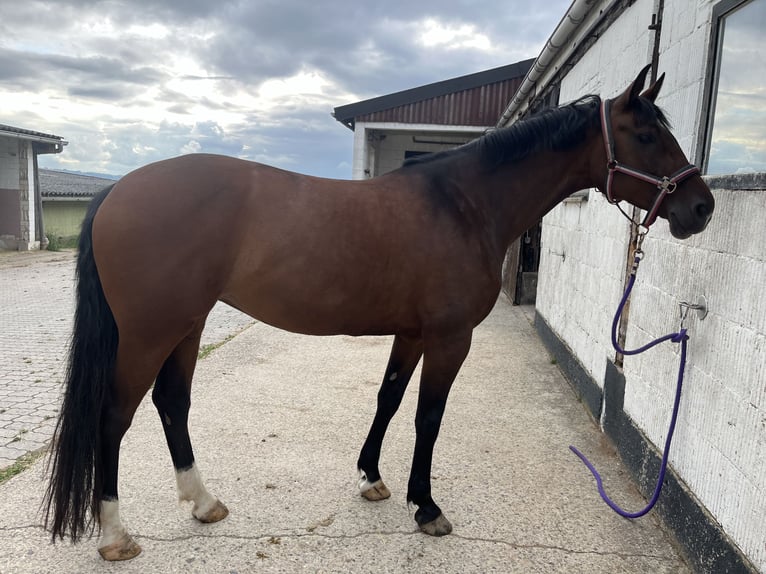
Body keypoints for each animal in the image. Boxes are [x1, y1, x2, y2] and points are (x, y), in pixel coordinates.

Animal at [42, 64, 712, 564]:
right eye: (646, 135)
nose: (701, 207)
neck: (465, 204)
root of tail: (117, 189)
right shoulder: (449, 338)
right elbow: (427, 418)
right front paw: (427, 507)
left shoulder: (412, 333)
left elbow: (388, 399)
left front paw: (372, 479)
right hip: (149, 332)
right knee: (114, 415)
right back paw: (115, 534)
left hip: (188, 323)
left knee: (171, 403)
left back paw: (204, 502)